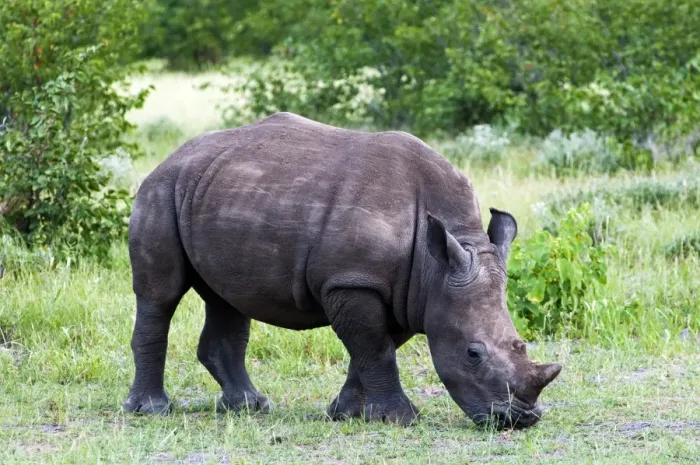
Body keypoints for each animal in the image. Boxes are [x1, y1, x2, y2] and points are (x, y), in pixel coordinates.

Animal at [124, 112, 562, 428]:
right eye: (473, 353)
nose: (519, 421)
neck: (436, 265)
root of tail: (173, 155)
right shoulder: (353, 282)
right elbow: (375, 349)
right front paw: (401, 420)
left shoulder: (409, 293)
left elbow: (373, 350)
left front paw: (345, 413)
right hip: (161, 190)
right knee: (160, 295)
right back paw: (151, 410)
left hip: (215, 192)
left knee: (227, 299)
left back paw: (250, 407)